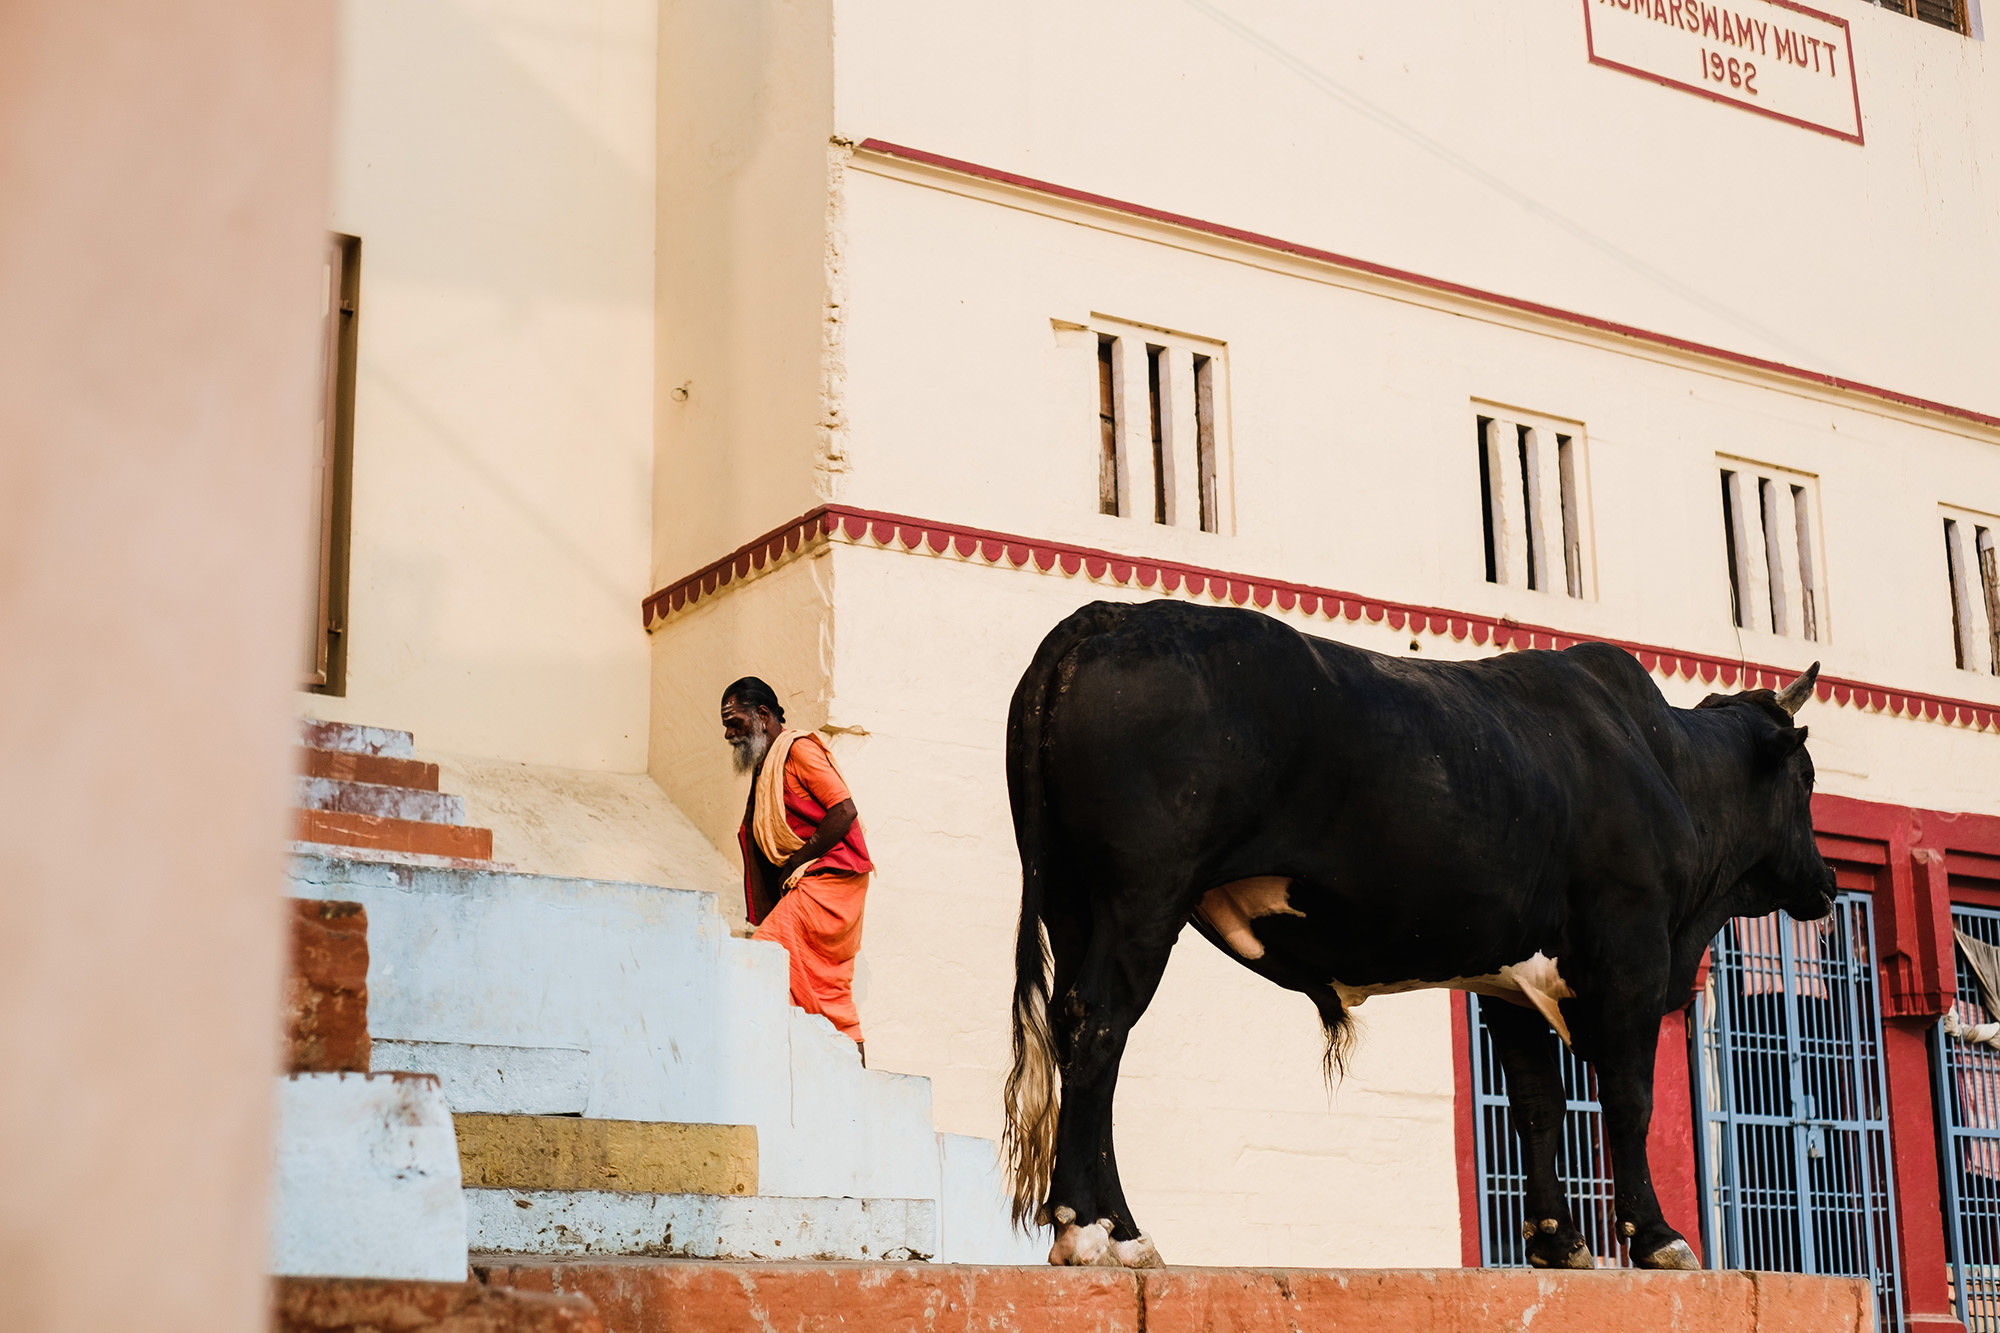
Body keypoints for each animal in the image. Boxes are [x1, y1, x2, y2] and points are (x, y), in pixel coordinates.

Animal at [1008, 600, 1832, 1264]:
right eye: (1808, 778)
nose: (1825, 880)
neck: (1664, 761)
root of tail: (1111, 616)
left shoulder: (1510, 979)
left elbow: (1539, 1102)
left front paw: (1558, 1240)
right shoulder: (1631, 949)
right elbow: (1629, 1097)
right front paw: (1659, 1237)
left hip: (1072, 905)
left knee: (1080, 1033)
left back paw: (1115, 1228)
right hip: (1141, 901)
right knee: (1100, 1026)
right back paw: (1092, 1229)